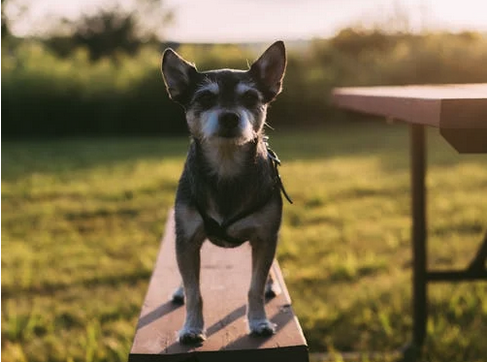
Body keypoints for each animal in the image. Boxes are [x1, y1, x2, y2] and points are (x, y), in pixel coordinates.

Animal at [160, 41, 290, 344]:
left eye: (251, 98)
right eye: (206, 98)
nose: (230, 116)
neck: (226, 167)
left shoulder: (265, 237)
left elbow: (254, 287)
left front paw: (258, 322)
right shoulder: (187, 239)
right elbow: (194, 291)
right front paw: (191, 328)